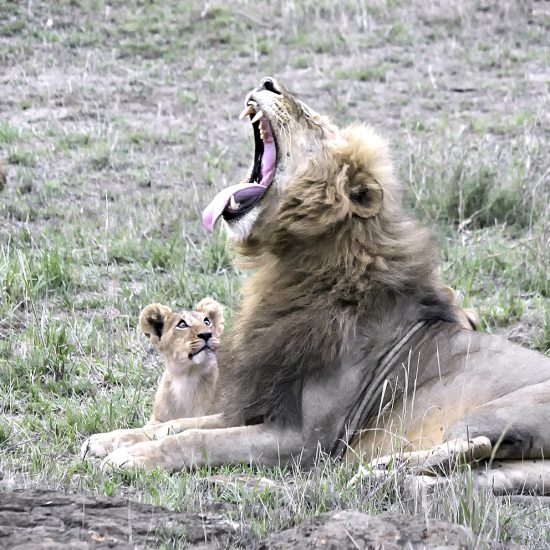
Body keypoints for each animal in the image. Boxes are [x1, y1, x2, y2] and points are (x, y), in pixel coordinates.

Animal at [85, 77, 550, 496]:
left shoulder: (305, 438)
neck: (294, 267)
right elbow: (178, 424)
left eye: (312, 121)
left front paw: (131, 457)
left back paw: (378, 467)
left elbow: (197, 438)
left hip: (492, 411)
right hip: (524, 468)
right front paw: (112, 440)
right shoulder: (264, 404)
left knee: (477, 443)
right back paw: (388, 477)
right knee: (478, 473)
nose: (268, 82)